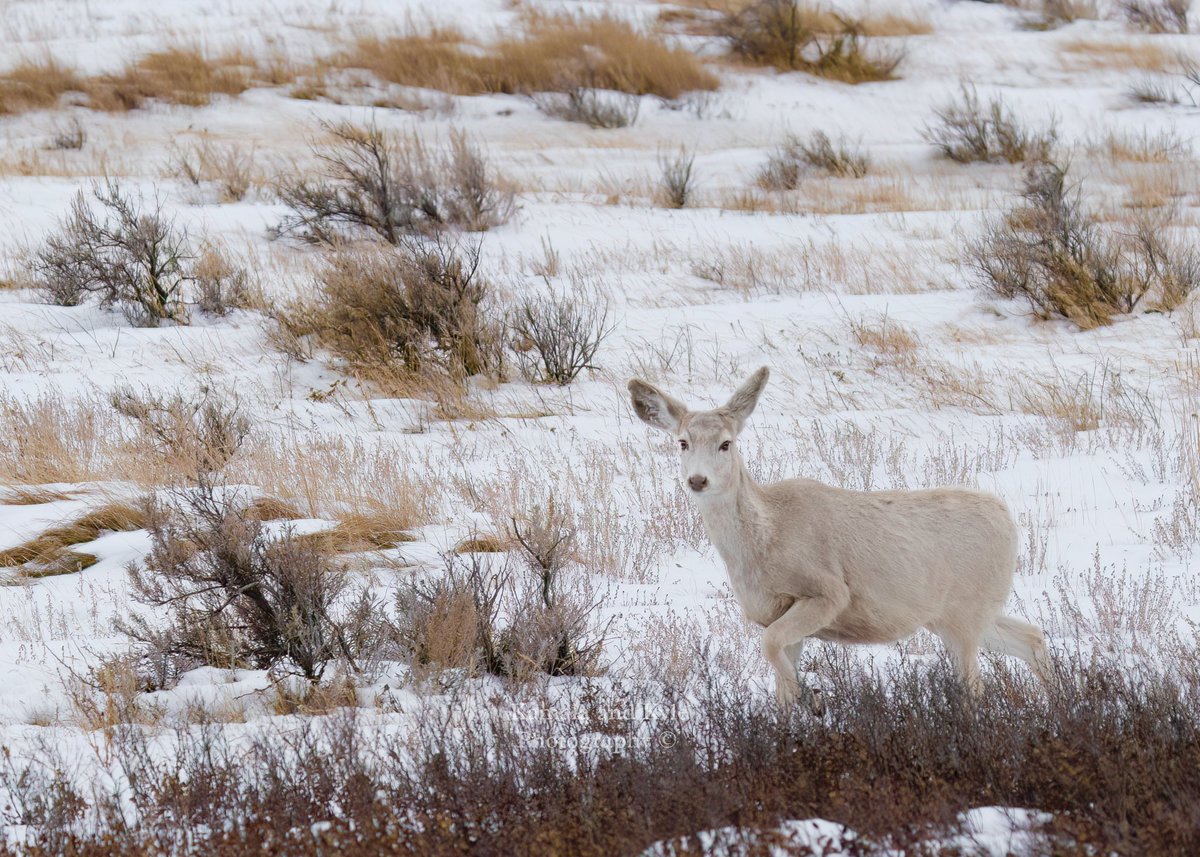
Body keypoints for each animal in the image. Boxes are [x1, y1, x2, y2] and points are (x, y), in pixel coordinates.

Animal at [627, 367, 1050, 707]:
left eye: (726, 443)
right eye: (682, 442)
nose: (697, 480)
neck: (764, 539)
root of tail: (1008, 521)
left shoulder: (827, 592)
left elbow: (771, 648)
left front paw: (811, 698)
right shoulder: (776, 614)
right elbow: (778, 678)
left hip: (963, 615)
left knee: (976, 685)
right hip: (957, 613)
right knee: (1032, 636)